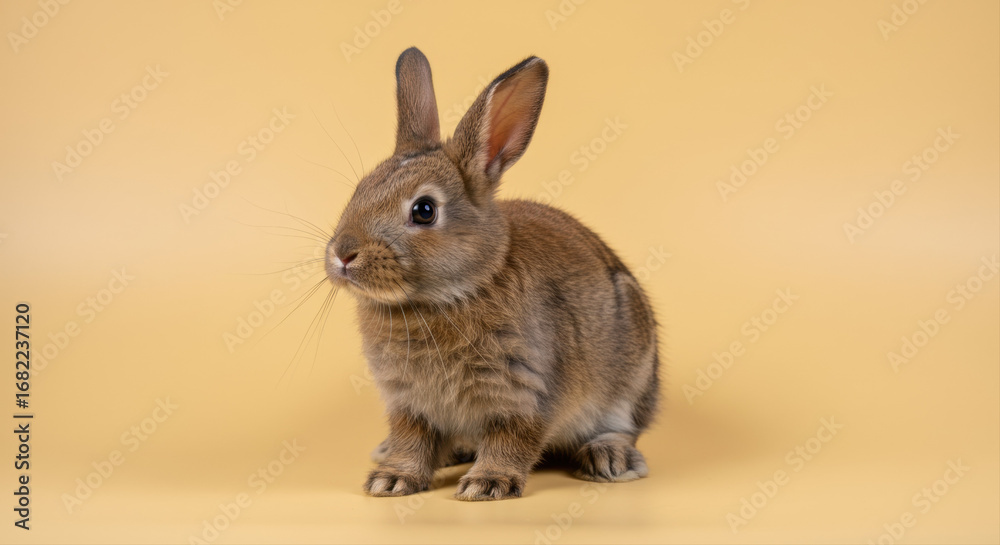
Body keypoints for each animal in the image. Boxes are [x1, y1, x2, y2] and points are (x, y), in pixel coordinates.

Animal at [325, 47, 660, 501]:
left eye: (424, 210)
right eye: (361, 189)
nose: (343, 254)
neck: (447, 296)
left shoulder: (526, 391)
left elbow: (512, 437)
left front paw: (487, 483)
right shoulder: (408, 403)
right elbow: (412, 439)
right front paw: (391, 479)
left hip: (631, 378)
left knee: (624, 428)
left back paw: (610, 459)